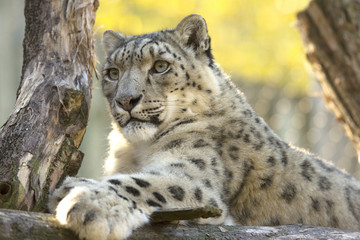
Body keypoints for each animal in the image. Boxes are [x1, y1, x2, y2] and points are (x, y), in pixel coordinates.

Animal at [47, 14, 360, 239]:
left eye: (160, 66)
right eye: (113, 72)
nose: (126, 100)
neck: (136, 149)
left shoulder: (195, 178)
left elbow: (145, 182)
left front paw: (86, 200)